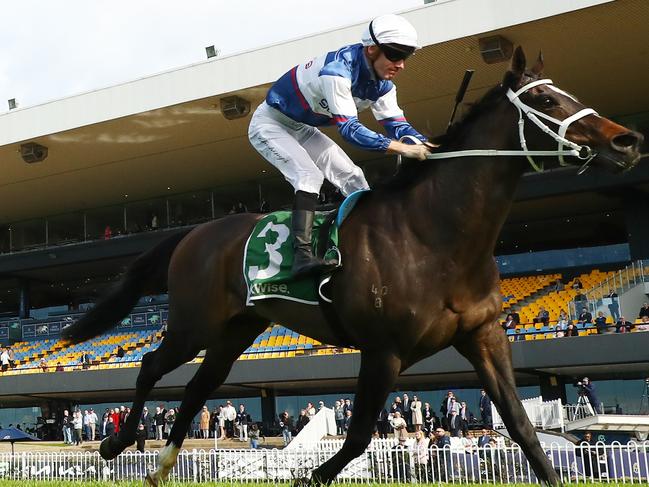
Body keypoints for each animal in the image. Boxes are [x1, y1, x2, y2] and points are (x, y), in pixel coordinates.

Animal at [62, 46, 644, 487]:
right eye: (545, 98)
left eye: (565, 91)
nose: (627, 139)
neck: (434, 235)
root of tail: (194, 233)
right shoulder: (383, 350)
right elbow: (359, 433)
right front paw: (309, 477)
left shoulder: (483, 336)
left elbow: (523, 428)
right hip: (194, 322)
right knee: (150, 366)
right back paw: (118, 442)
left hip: (235, 330)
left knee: (197, 388)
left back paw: (160, 464)